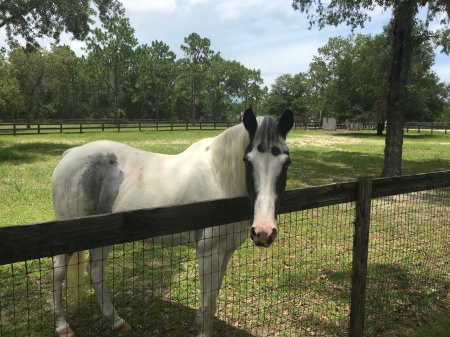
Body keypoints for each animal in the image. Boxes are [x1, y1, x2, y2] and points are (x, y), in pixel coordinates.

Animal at [51, 108, 294, 336]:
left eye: (286, 162)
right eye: (247, 161)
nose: (263, 231)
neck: (220, 180)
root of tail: (69, 155)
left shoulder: (226, 251)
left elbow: (213, 296)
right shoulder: (208, 252)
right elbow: (208, 301)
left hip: (102, 236)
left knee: (95, 270)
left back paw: (116, 321)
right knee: (59, 271)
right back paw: (63, 326)